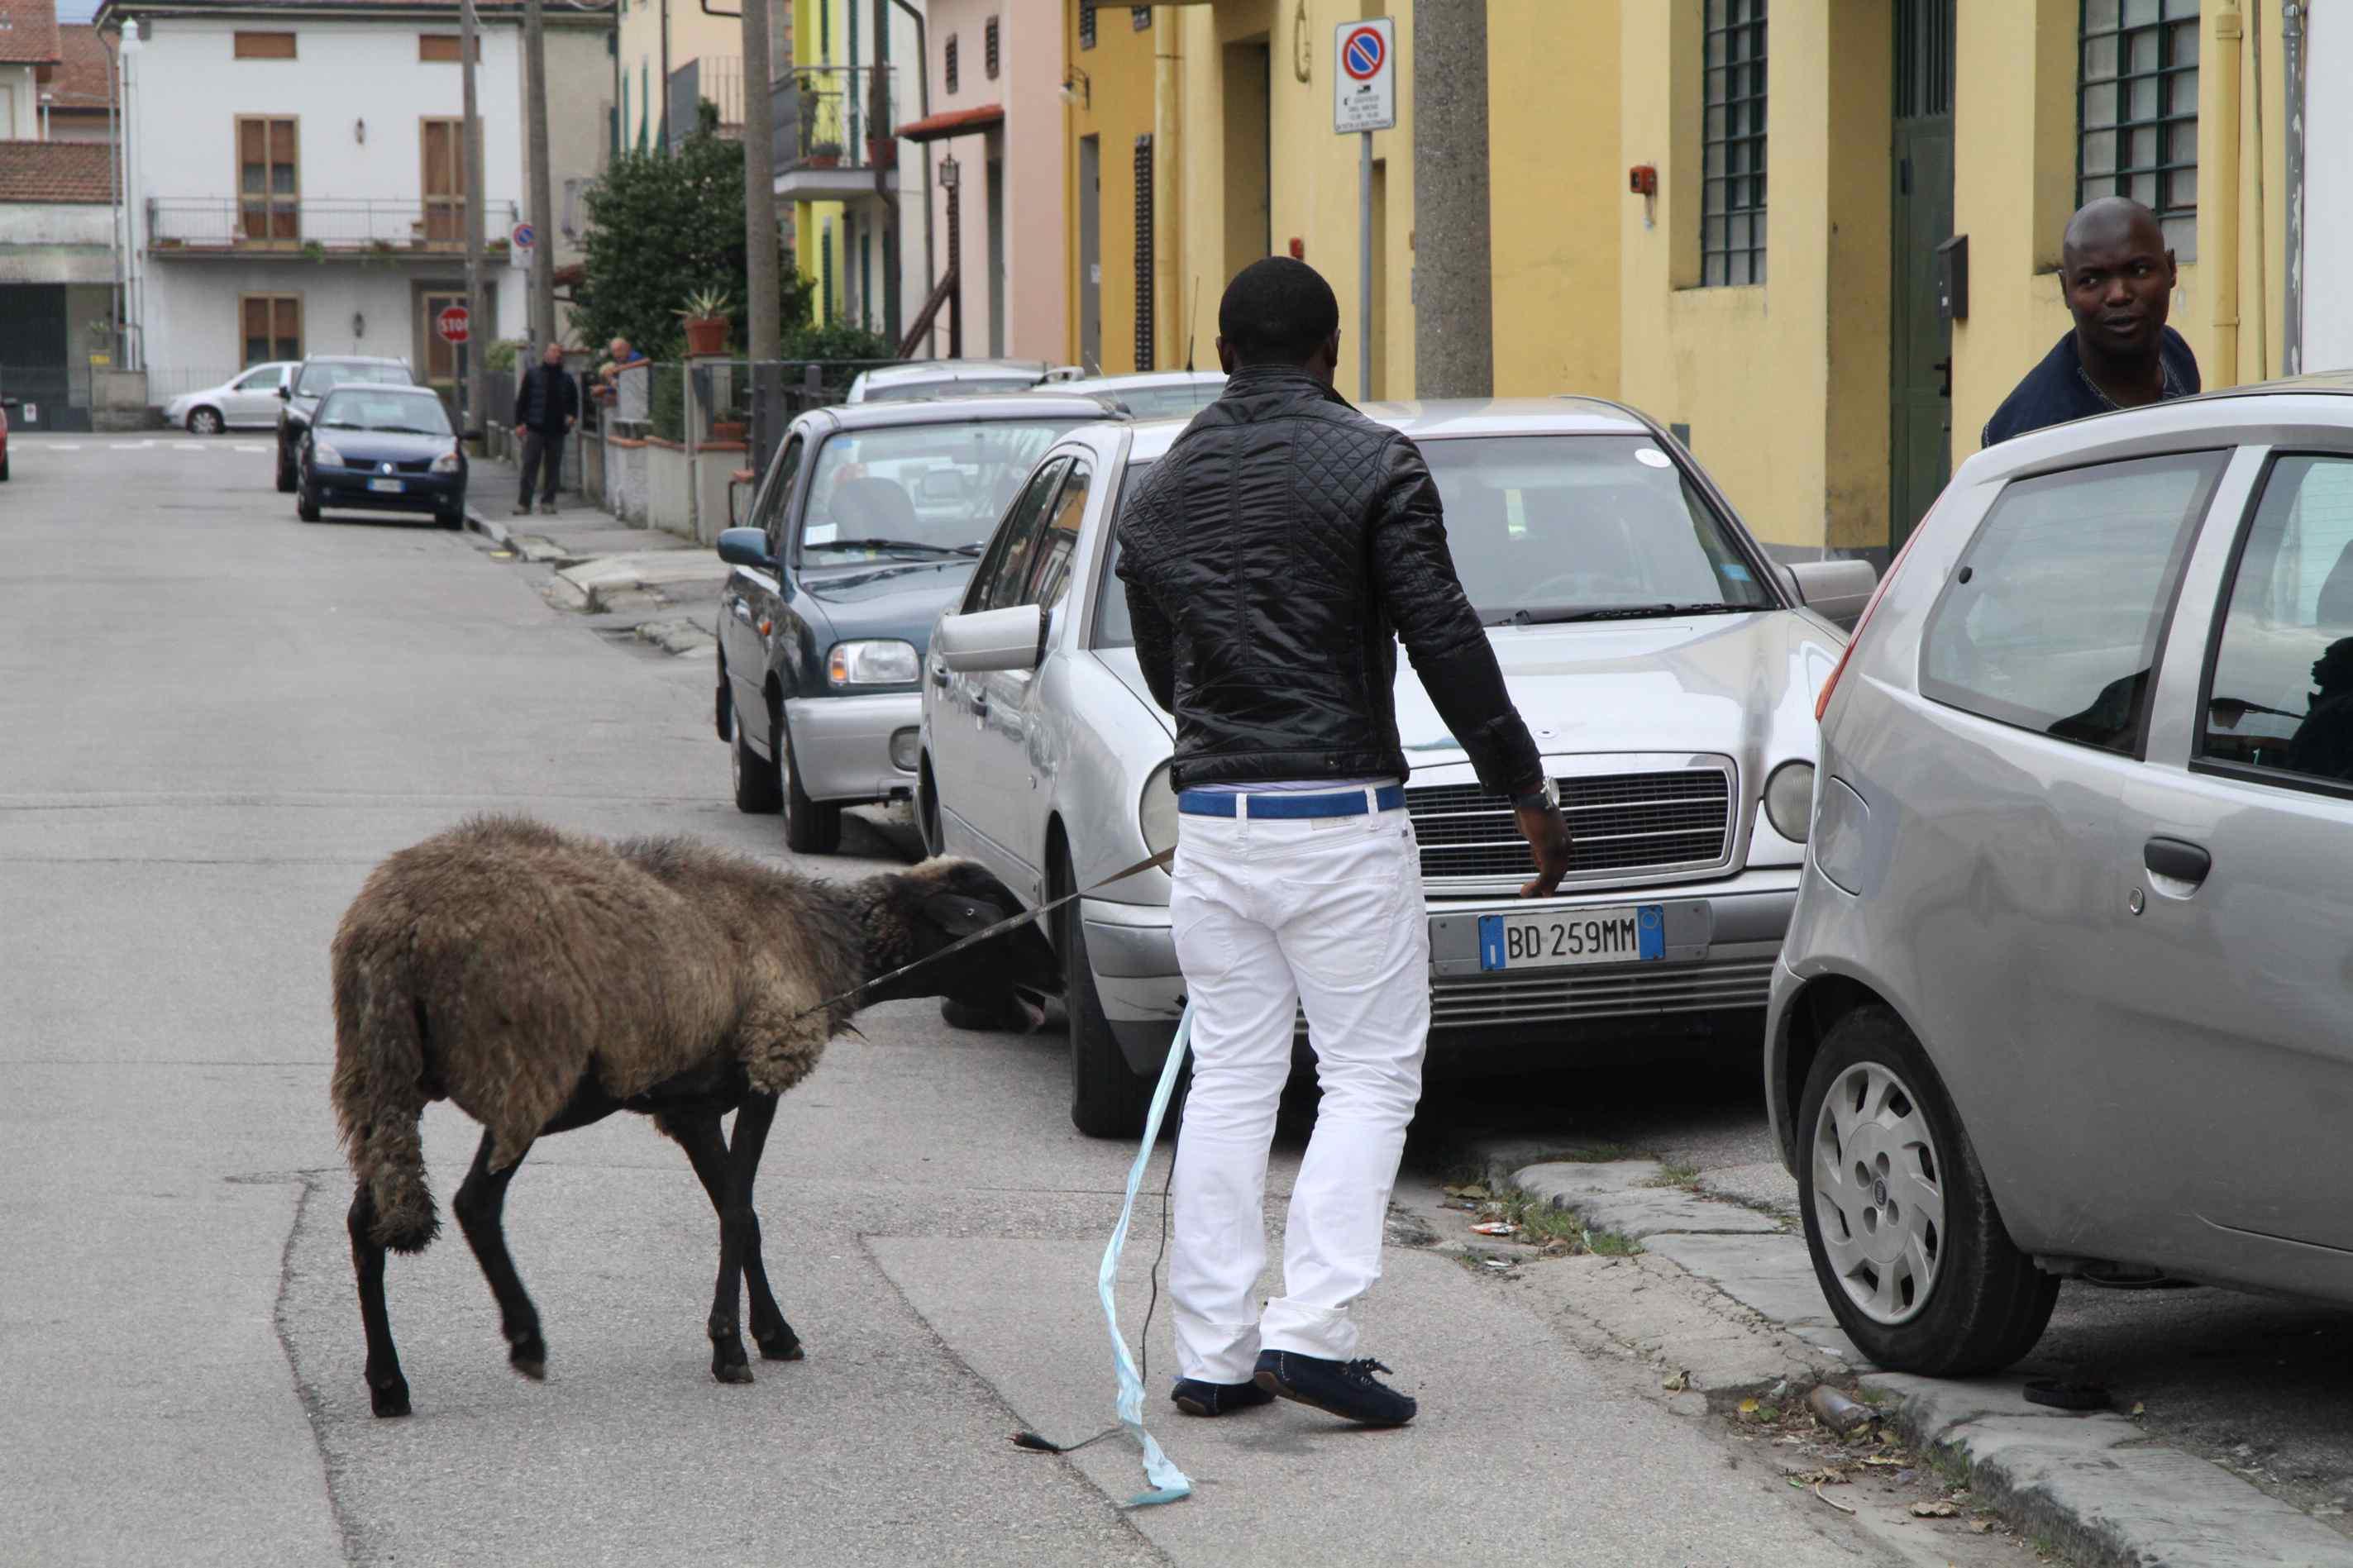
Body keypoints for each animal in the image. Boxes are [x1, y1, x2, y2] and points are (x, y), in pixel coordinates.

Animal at [330, 814, 1058, 1418]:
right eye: (1006, 917)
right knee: (474, 1202)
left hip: (382, 1071)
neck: (832, 940)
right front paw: (730, 1348)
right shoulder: (766, 1061)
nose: (1063, 973)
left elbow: (746, 1216)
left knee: (367, 1218)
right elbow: (737, 1211)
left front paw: (772, 1332)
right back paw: (525, 1338)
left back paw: (388, 1384)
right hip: (524, 1069)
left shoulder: (693, 1105)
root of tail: (395, 926)